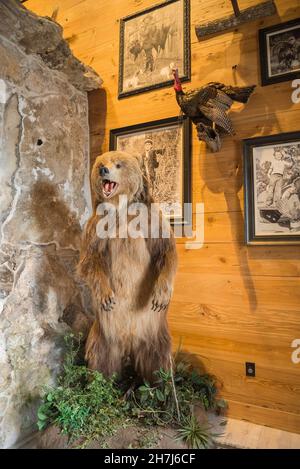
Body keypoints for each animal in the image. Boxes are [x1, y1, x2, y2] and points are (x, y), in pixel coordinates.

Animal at [78, 150, 178, 380]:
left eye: (118, 164)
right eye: (101, 162)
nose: (103, 169)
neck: (120, 208)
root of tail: (130, 343)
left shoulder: (150, 220)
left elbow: (166, 250)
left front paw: (161, 295)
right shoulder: (97, 226)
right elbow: (90, 259)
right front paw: (106, 296)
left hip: (154, 330)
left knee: (158, 357)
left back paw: (162, 385)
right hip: (105, 334)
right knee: (101, 356)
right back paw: (100, 383)